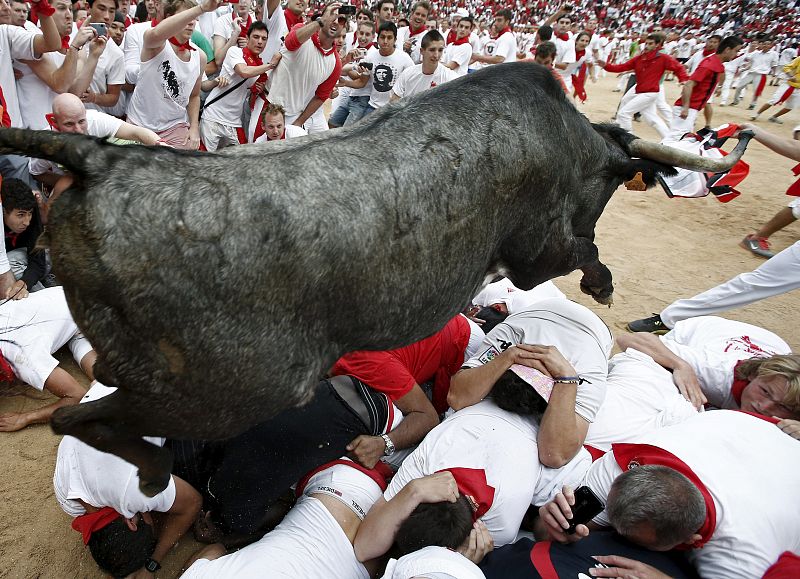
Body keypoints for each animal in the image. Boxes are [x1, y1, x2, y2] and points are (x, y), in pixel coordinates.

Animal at [0, 61, 752, 494]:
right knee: (78, 416)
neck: (570, 140)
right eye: (613, 186)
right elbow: (580, 250)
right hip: (234, 389)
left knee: (89, 400)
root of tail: (101, 158)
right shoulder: (538, 248)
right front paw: (602, 282)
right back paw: (156, 472)